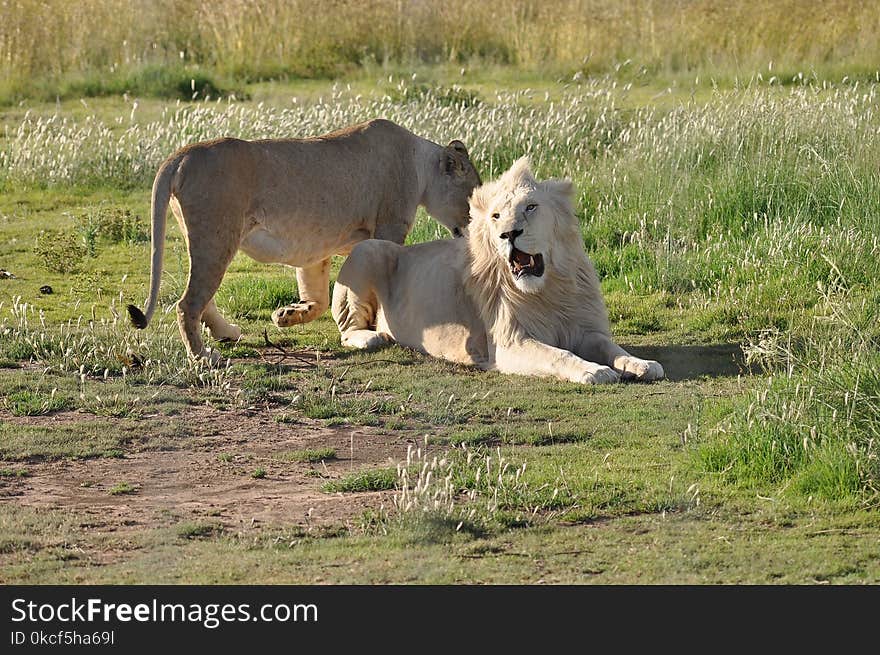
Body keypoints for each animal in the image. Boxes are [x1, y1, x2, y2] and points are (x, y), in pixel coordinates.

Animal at [125, 120, 482, 362]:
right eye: (474, 200)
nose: (476, 231)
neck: (419, 163)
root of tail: (181, 154)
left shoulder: (316, 248)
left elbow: (320, 296)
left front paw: (288, 315)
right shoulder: (388, 229)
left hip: (205, 240)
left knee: (201, 298)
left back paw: (227, 334)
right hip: (216, 236)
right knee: (187, 303)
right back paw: (203, 356)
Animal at [334, 158, 664, 384]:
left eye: (530, 207)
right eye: (495, 216)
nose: (509, 234)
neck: (547, 289)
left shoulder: (584, 329)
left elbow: (612, 347)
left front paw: (641, 364)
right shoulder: (509, 344)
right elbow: (560, 355)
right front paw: (594, 371)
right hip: (367, 251)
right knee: (347, 331)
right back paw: (374, 337)